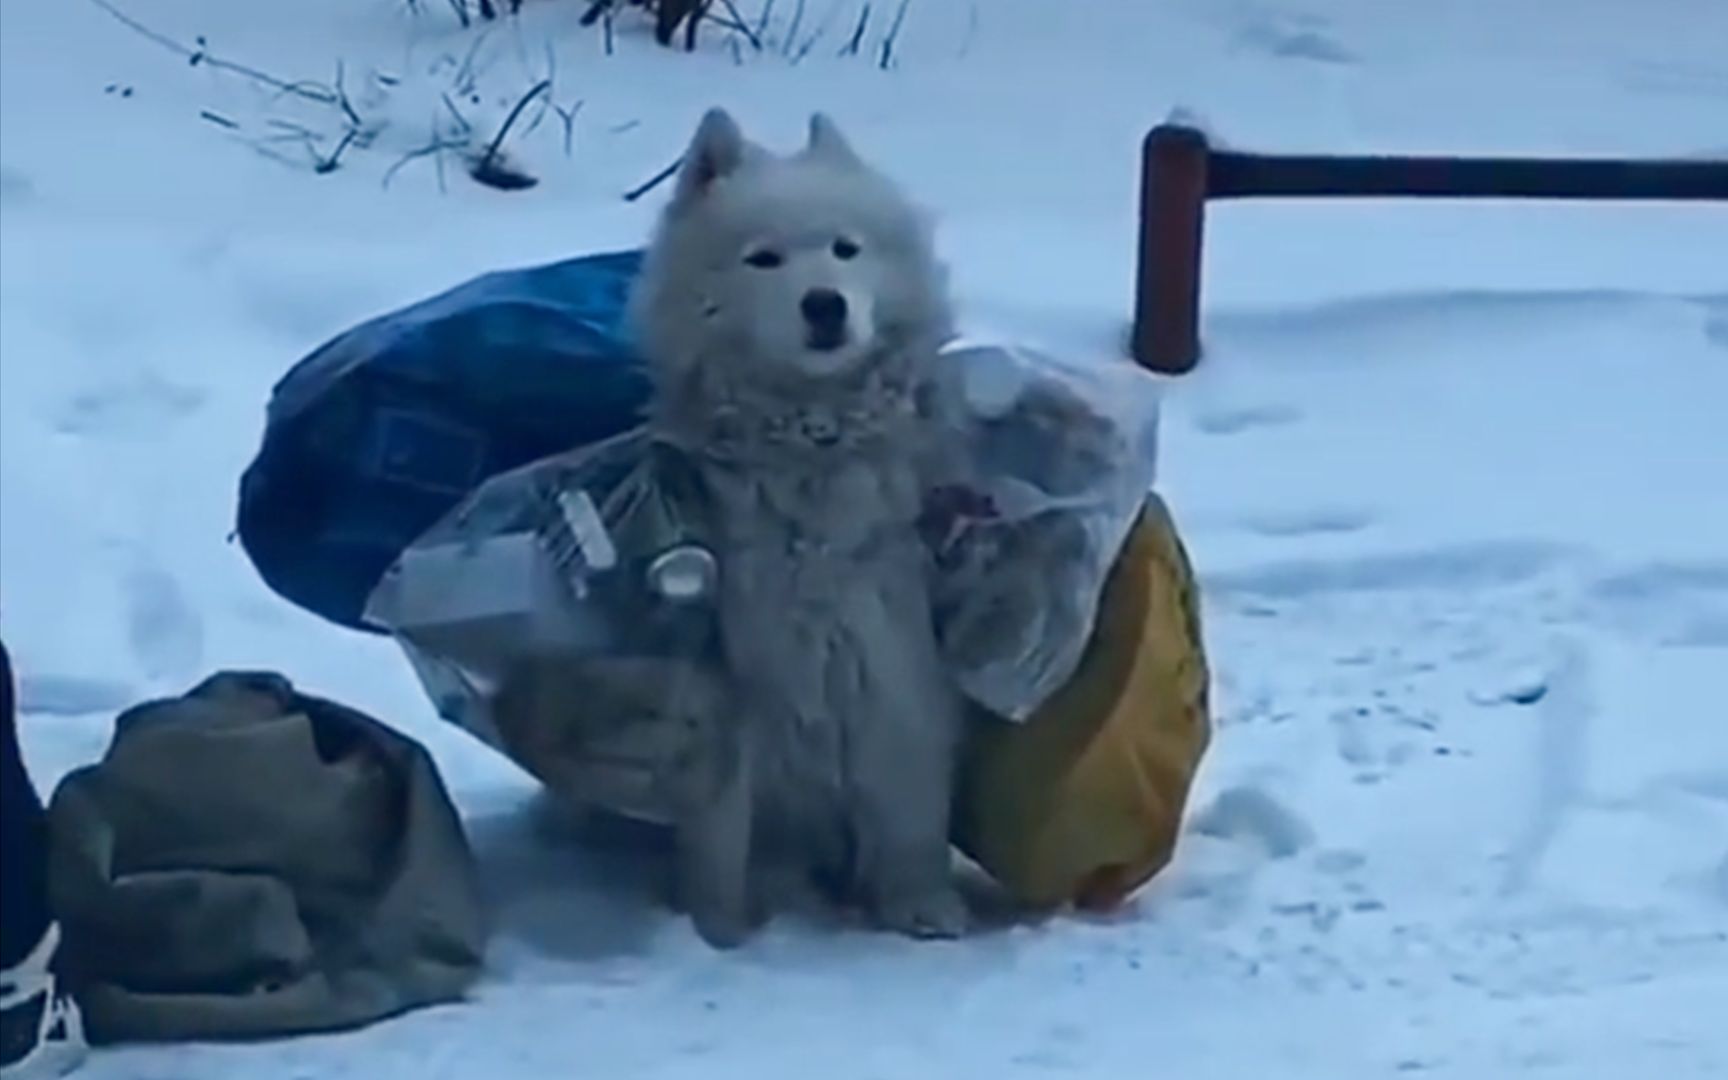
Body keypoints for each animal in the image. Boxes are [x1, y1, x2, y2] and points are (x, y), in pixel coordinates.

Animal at [632, 109, 974, 940]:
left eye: (846, 249)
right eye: (764, 259)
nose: (825, 305)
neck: (810, 440)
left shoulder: (892, 651)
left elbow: (910, 794)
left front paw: (921, 905)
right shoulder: (733, 677)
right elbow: (721, 832)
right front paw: (718, 929)